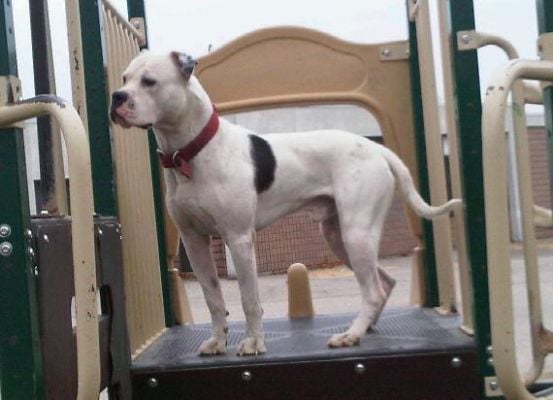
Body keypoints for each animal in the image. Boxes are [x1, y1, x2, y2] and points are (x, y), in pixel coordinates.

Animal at [110, 50, 460, 356]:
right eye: (124, 77)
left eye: (149, 81)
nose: (116, 97)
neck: (191, 152)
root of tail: (378, 149)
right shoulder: (194, 241)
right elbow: (213, 298)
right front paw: (218, 342)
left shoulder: (239, 238)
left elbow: (249, 299)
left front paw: (253, 343)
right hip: (339, 236)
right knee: (384, 282)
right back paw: (364, 327)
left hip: (356, 233)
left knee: (373, 289)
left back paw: (350, 336)